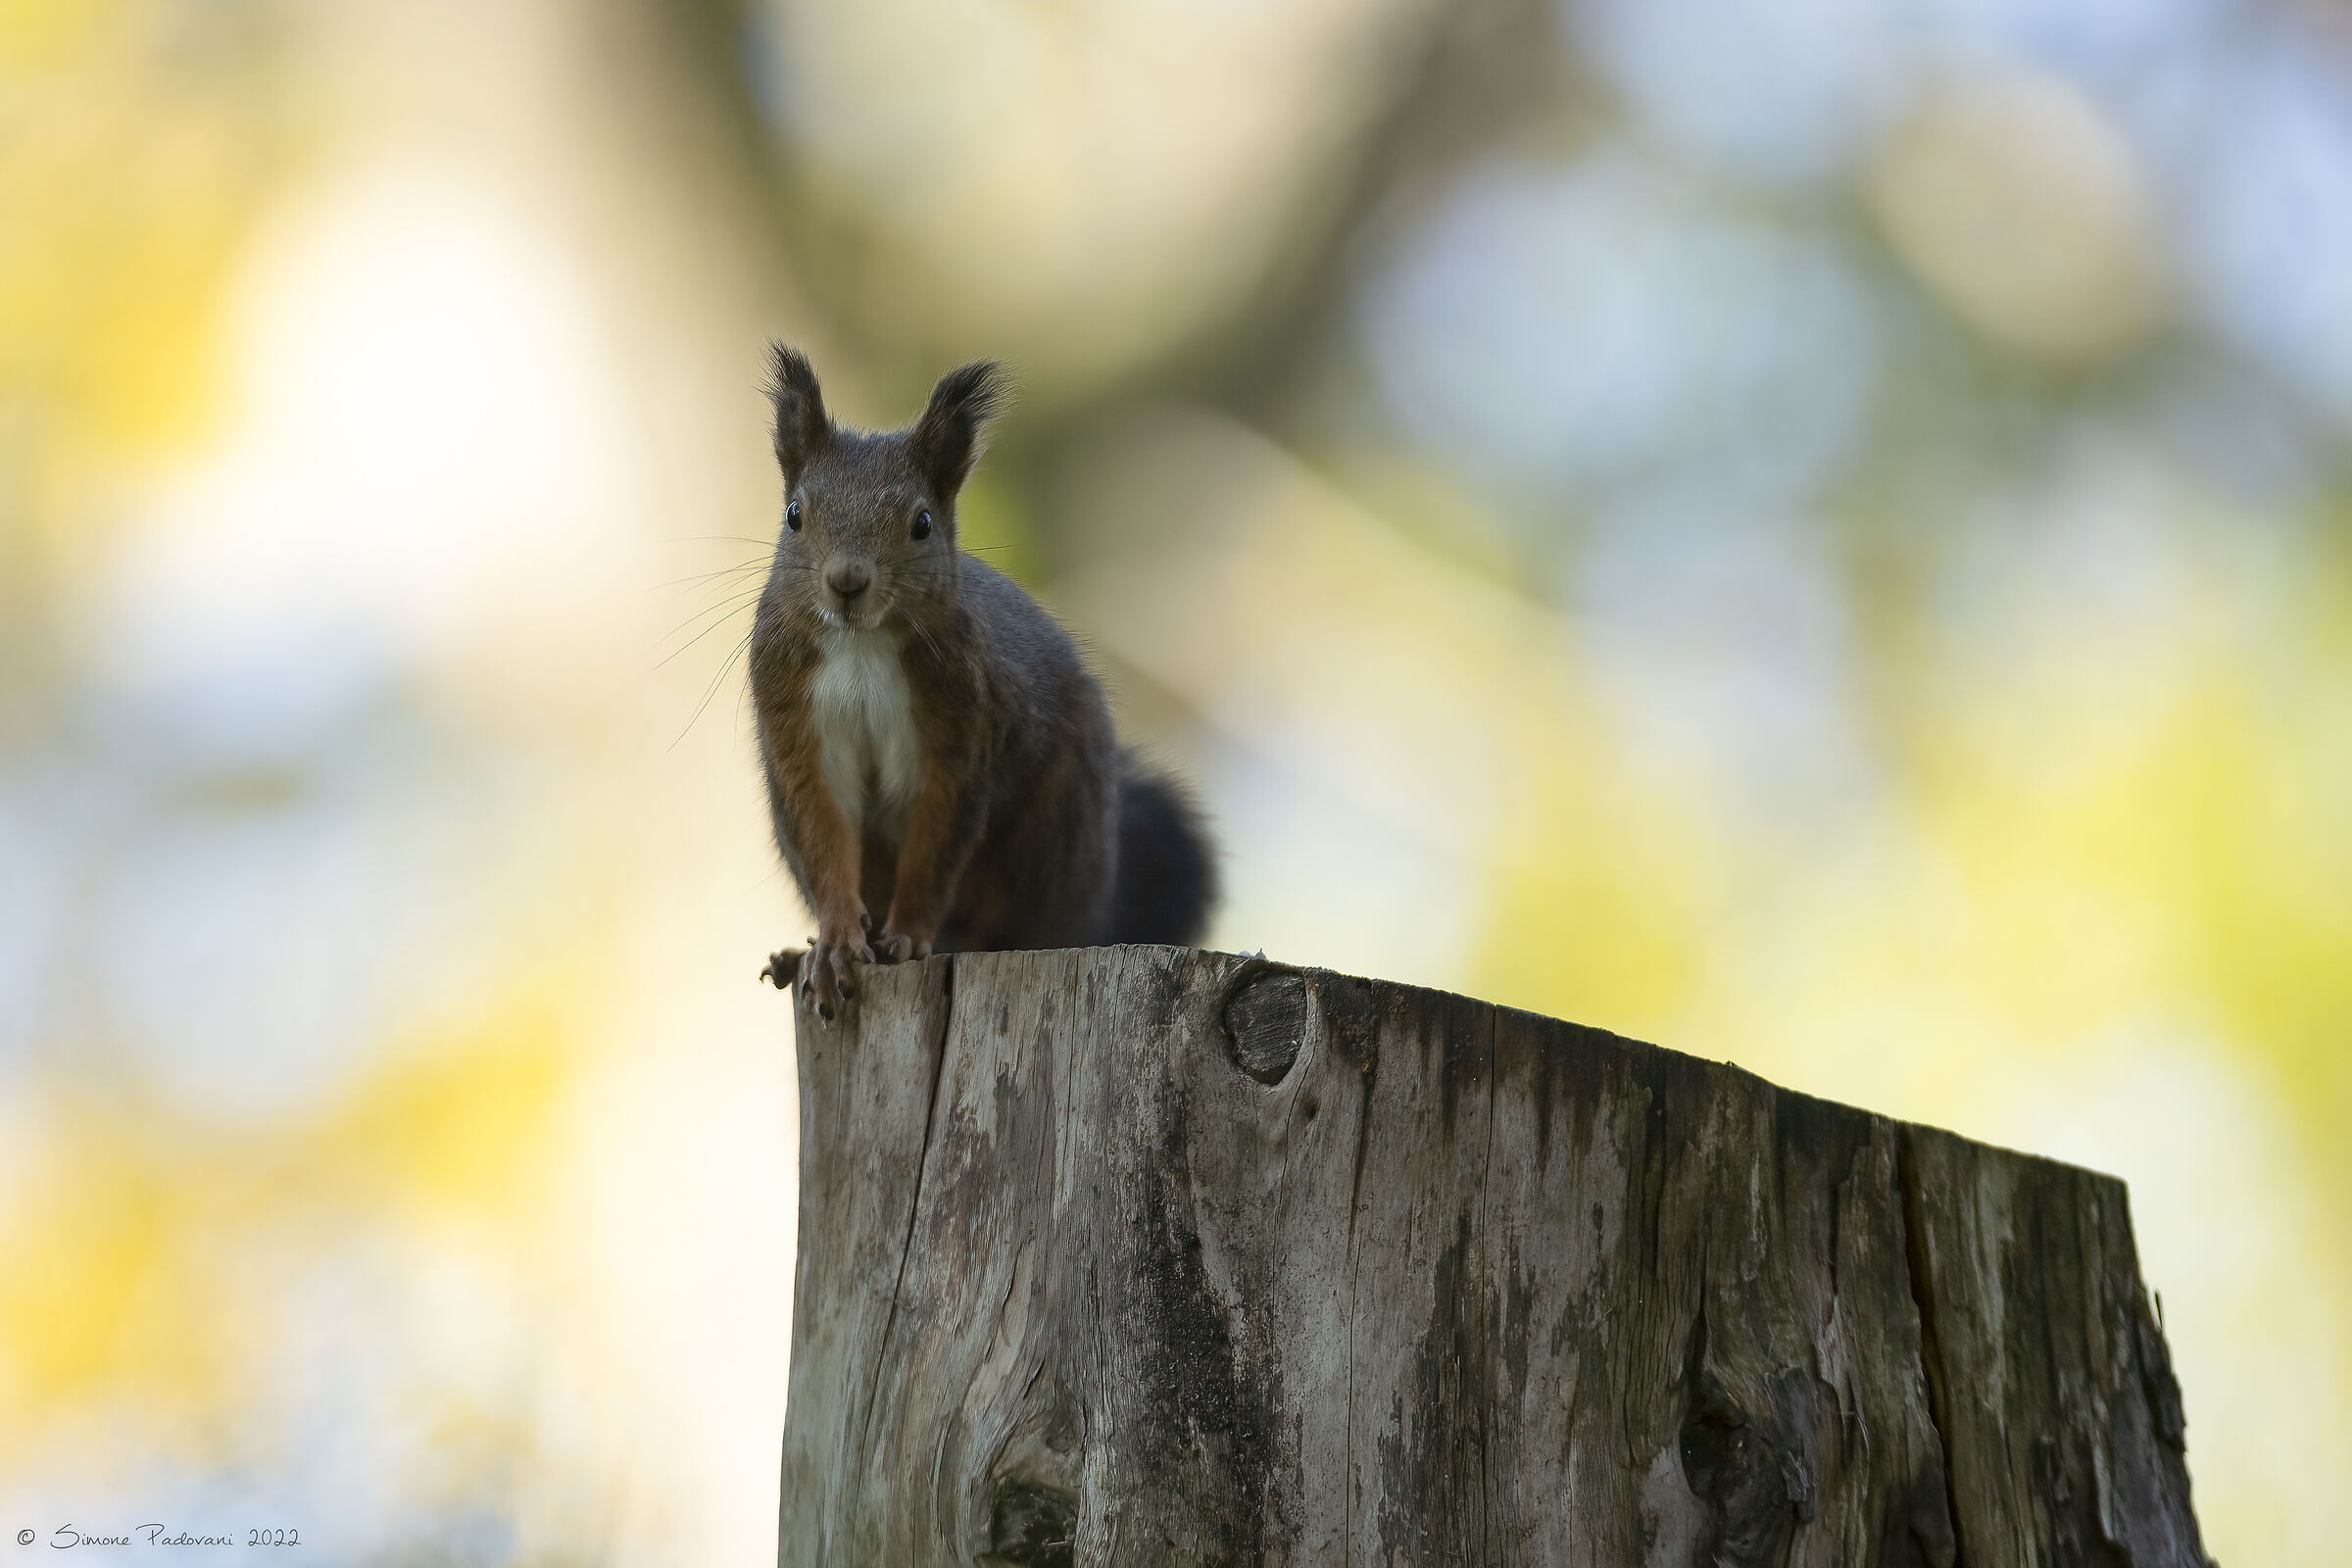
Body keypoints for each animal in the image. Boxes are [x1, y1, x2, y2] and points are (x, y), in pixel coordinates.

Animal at [747, 345, 1217, 1016]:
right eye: (794, 517)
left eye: (921, 523)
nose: (846, 581)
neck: (860, 645)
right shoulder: (796, 729)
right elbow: (825, 836)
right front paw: (834, 945)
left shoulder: (964, 730)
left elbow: (936, 843)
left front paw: (908, 937)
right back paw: (800, 954)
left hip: (1046, 836)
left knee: (1010, 919)